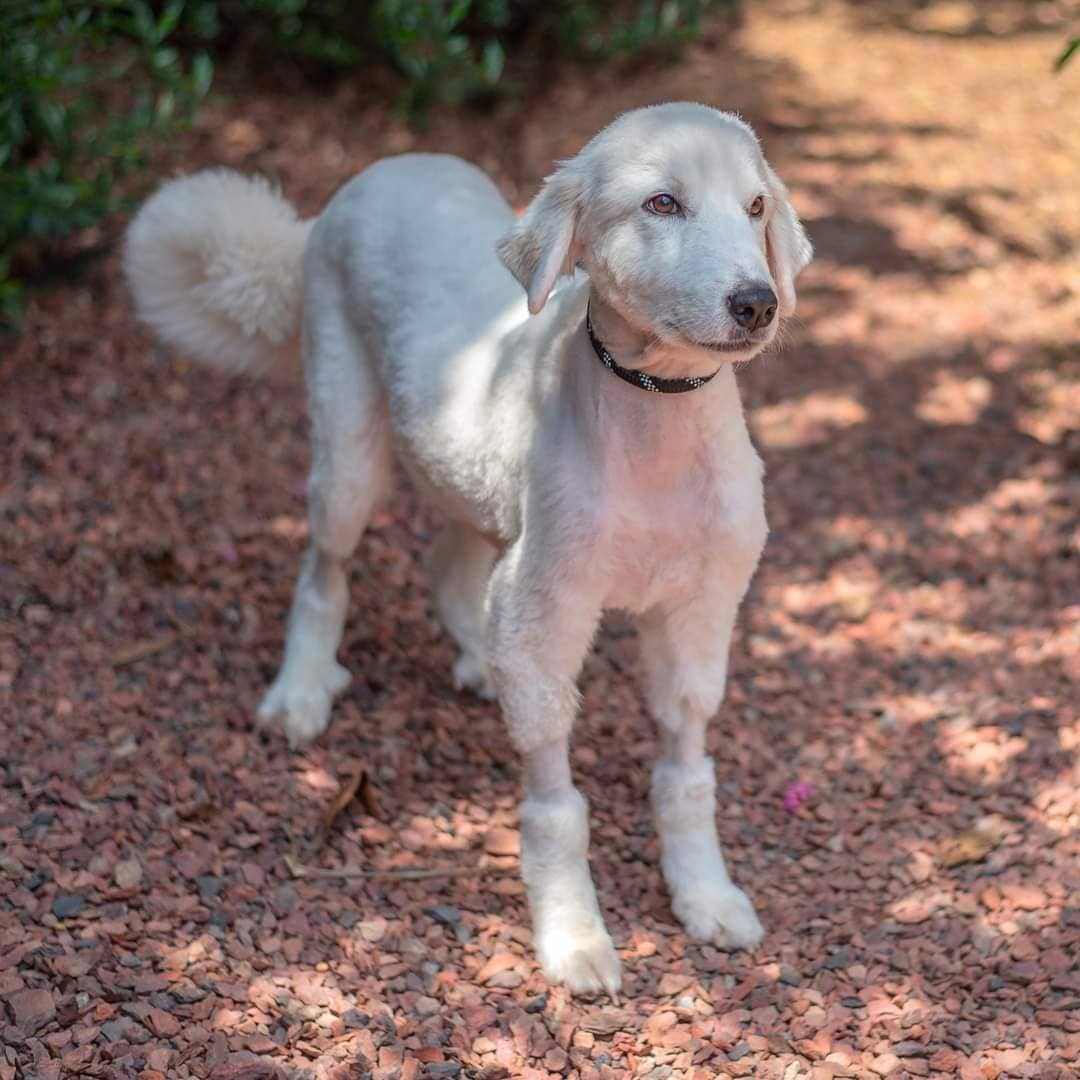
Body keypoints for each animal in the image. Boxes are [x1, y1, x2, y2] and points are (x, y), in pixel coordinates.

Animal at [124, 103, 812, 993]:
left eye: (756, 207)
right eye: (662, 203)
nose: (757, 303)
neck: (653, 422)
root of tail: (382, 171)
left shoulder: (698, 609)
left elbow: (687, 772)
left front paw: (704, 894)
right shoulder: (547, 604)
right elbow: (556, 807)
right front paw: (573, 934)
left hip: (470, 482)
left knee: (449, 565)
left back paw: (478, 662)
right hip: (346, 450)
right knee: (324, 573)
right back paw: (301, 691)